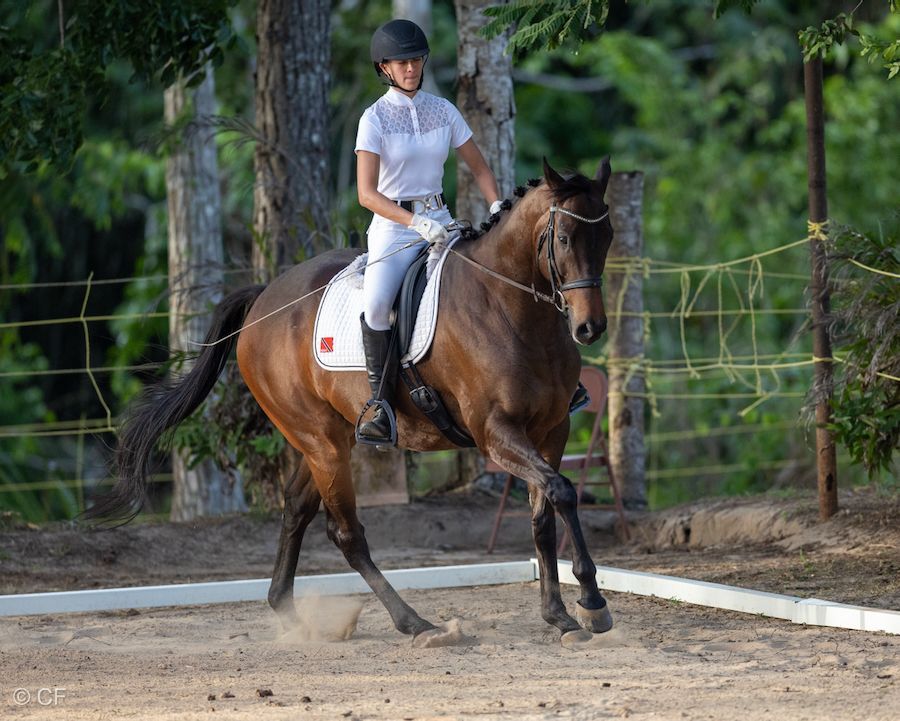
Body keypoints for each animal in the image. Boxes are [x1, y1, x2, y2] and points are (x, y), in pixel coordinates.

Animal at [88, 157, 616, 646]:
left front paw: (561, 615)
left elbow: (544, 513)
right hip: (320, 441)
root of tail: (263, 300)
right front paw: (591, 603)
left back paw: (290, 614)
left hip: (327, 439)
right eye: (563, 238)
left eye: (607, 235)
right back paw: (413, 623)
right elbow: (562, 492)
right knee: (344, 532)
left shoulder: (551, 431)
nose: (589, 328)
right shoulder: (495, 434)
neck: (511, 308)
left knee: (296, 508)